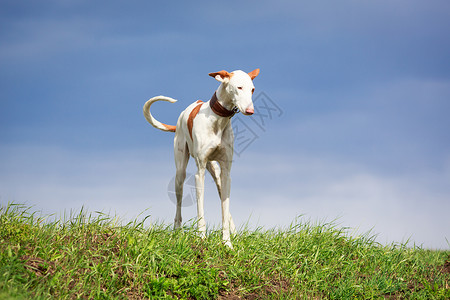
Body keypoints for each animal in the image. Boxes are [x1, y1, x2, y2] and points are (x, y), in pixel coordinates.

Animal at [142, 68, 258, 248]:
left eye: (252, 89)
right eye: (239, 87)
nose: (250, 110)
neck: (218, 121)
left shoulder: (226, 173)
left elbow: (225, 210)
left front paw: (227, 243)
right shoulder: (199, 173)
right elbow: (200, 210)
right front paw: (201, 238)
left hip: (216, 172)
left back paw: (235, 233)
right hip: (180, 172)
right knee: (179, 204)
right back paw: (177, 231)